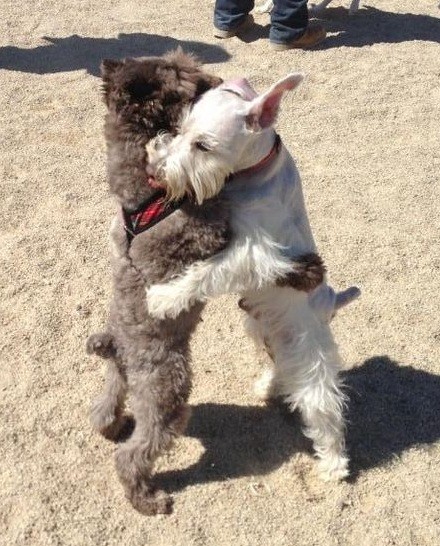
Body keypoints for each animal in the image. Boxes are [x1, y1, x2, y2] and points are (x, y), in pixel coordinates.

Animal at [146, 74, 360, 478]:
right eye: (181, 129)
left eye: (203, 145)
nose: (154, 171)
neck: (255, 172)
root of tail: (332, 303)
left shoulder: (252, 253)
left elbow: (203, 273)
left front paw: (163, 299)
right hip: (264, 329)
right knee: (280, 366)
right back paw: (267, 386)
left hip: (309, 355)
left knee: (323, 406)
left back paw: (334, 465)